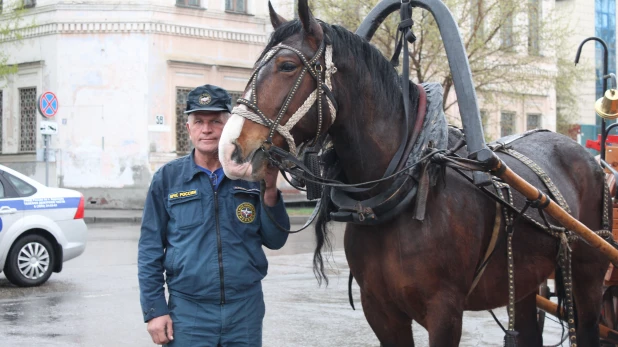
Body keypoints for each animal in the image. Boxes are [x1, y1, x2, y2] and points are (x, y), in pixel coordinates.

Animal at [217, 1, 608, 346]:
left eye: (286, 66)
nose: (230, 149)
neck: (403, 187)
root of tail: (591, 159)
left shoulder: (445, 312)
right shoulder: (380, 311)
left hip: (587, 275)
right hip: (524, 281)